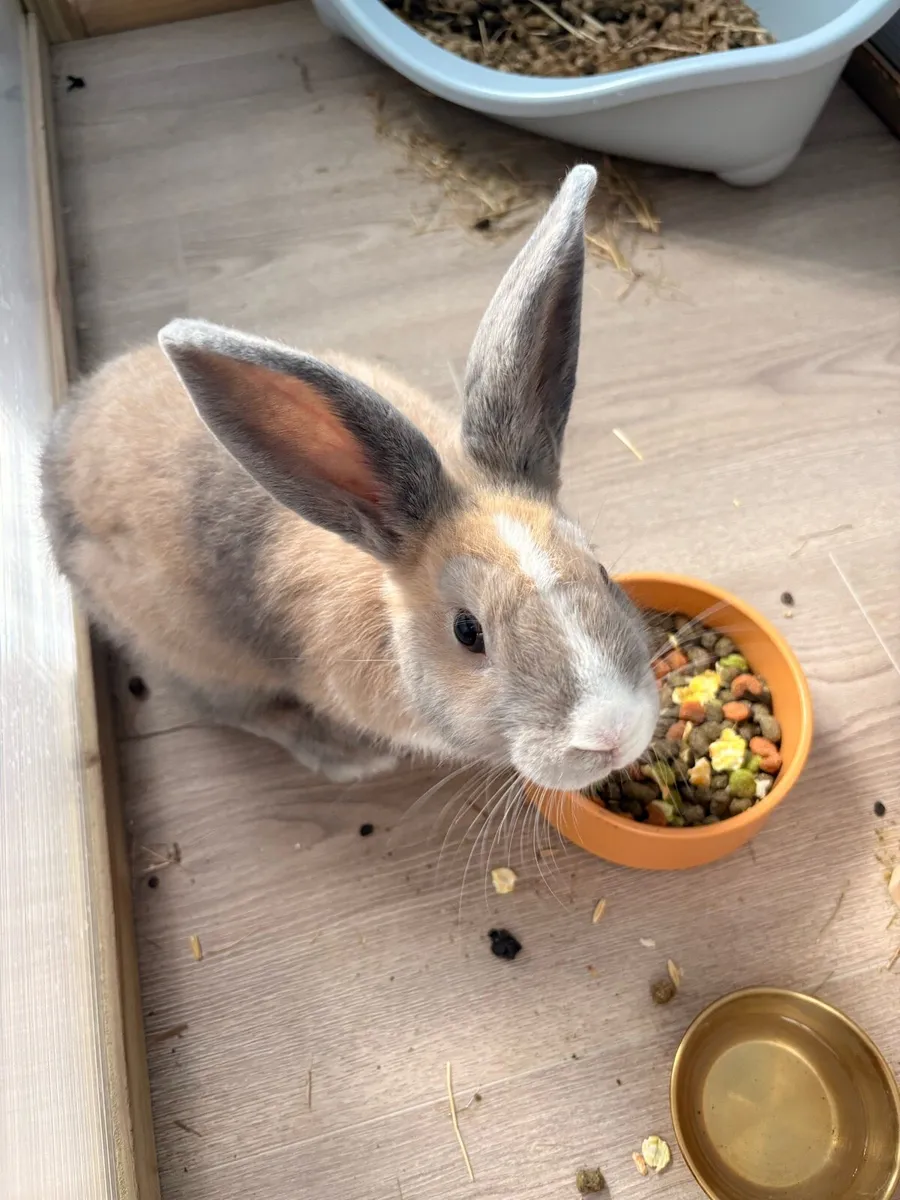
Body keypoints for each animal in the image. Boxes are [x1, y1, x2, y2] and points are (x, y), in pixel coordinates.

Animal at [41, 164, 658, 791]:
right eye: (468, 632)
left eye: (600, 569)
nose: (613, 732)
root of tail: (55, 452)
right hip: (199, 657)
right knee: (235, 711)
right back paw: (345, 755)